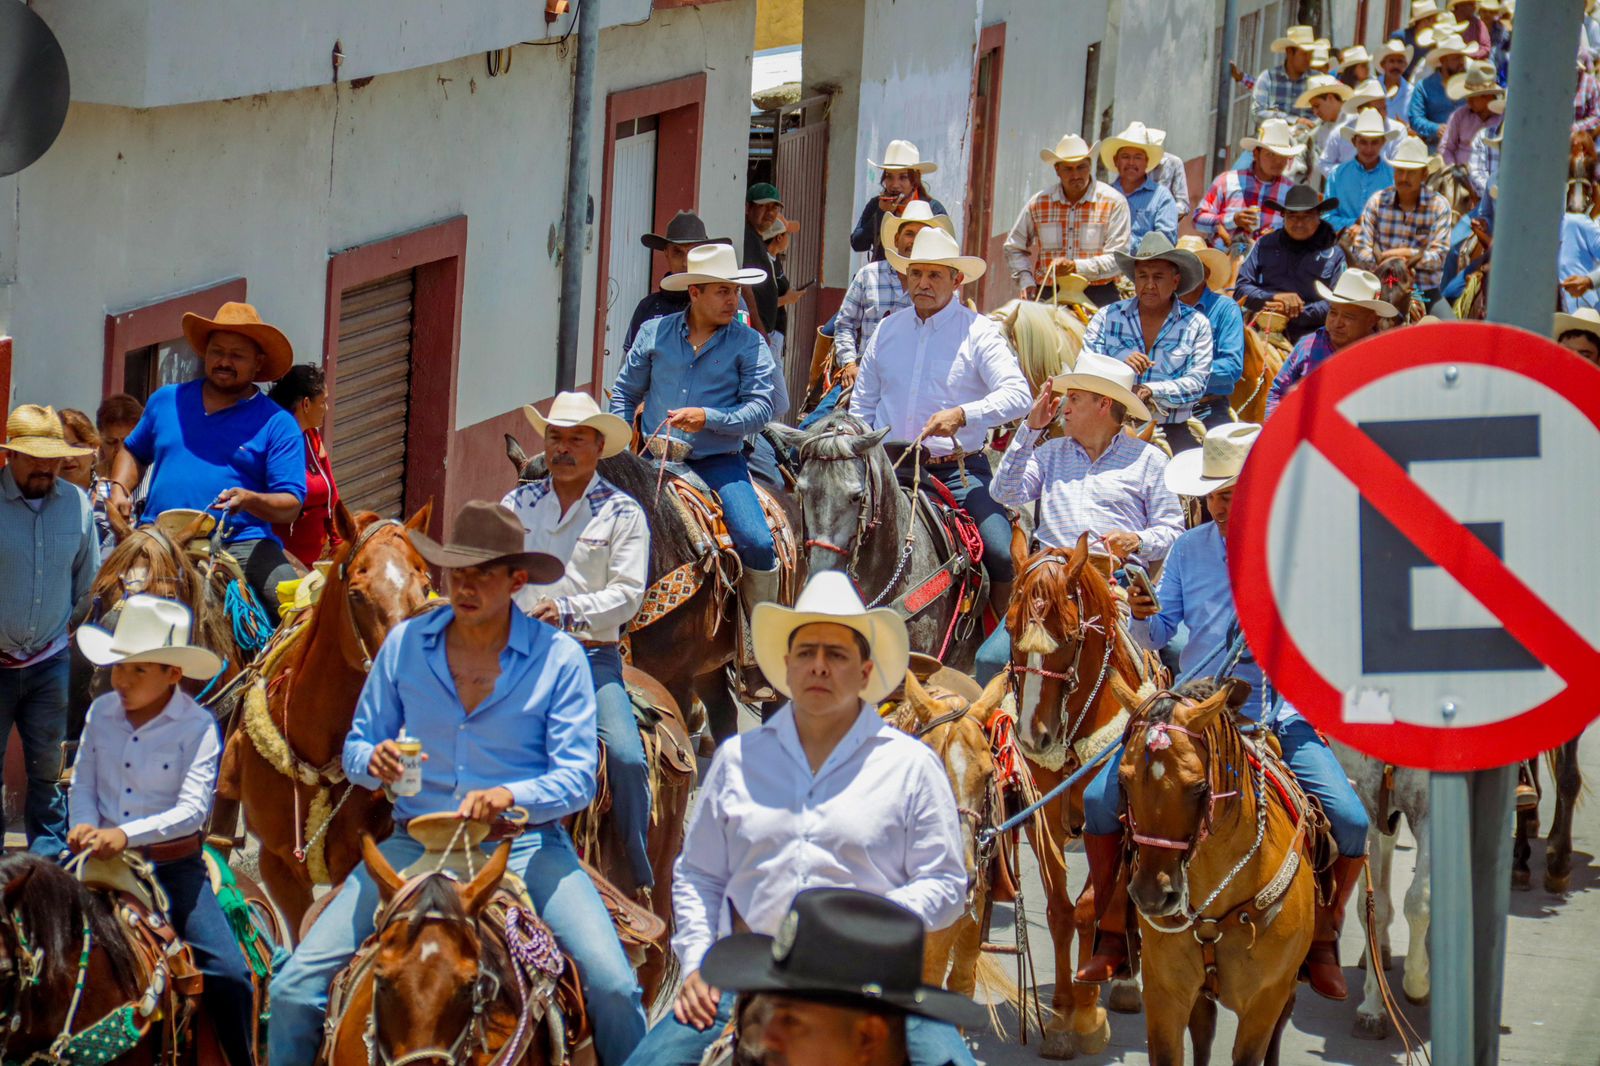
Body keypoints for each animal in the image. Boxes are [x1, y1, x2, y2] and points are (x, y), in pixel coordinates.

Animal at [1004, 530, 1146, 1059]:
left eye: (1068, 637)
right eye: (1010, 627)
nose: (1033, 737)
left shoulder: (1111, 822)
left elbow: (1090, 908)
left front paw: (1086, 1013)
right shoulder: (1042, 818)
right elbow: (1061, 912)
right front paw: (1063, 1013)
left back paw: (1124, 982)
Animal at [1118, 678, 1316, 1066]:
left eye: (1197, 788)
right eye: (1123, 781)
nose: (1151, 896)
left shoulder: (1264, 1000)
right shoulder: (1165, 993)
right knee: (1204, 1031)